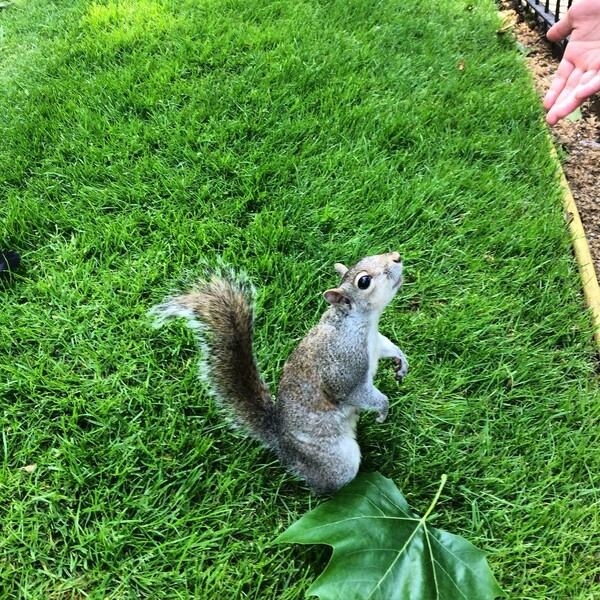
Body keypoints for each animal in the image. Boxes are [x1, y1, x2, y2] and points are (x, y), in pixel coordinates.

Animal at [151, 251, 408, 494]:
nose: (396, 257)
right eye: (364, 281)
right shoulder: (343, 368)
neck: (361, 324)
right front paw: (383, 410)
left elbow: (388, 347)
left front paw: (401, 361)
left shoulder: (376, 343)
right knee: (326, 483)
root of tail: (283, 444)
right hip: (335, 457)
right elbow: (354, 393)